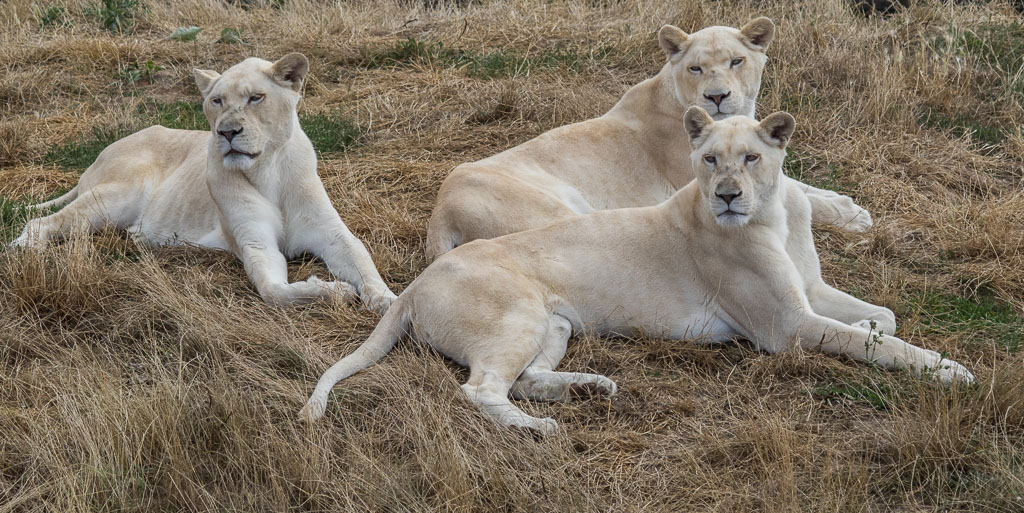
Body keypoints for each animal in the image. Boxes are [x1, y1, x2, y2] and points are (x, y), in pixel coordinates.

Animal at [11, 54, 397, 312]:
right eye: (216, 101)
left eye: (256, 97)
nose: (227, 132)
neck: (268, 170)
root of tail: (101, 153)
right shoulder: (254, 241)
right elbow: (275, 292)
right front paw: (334, 291)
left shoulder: (332, 233)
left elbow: (364, 264)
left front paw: (388, 303)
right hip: (115, 196)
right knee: (40, 221)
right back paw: (28, 252)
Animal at [301, 107, 973, 434]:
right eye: (708, 160)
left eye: (751, 158)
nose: (728, 197)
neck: (777, 209)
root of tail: (415, 282)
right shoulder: (787, 329)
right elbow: (876, 343)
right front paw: (952, 370)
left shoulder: (809, 292)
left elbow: (881, 318)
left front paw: (890, 334)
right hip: (516, 318)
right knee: (481, 389)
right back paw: (539, 428)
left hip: (554, 326)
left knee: (521, 377)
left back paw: (590, 388)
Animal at [425, 17, 872, 261]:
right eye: (695, 68)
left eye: (736, 61)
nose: (716, 97)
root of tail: (441, 213)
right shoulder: (699, 175)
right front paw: (854, 216)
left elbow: (797, 184)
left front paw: (841, 201)